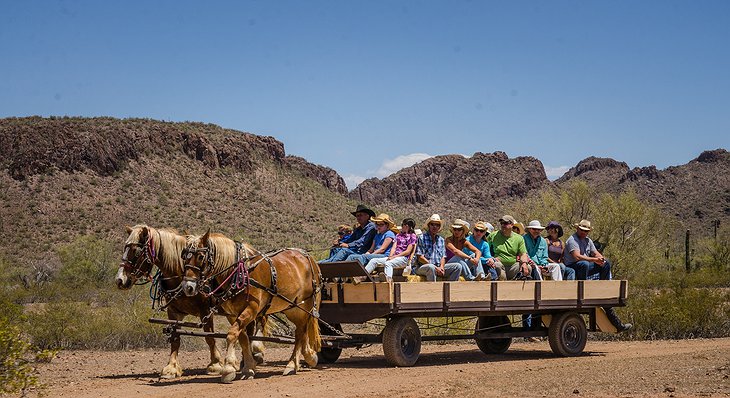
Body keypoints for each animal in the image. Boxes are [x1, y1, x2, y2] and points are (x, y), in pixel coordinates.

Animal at [181, 232, 320, 384]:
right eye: (184, 256)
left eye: (201, 256)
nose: (188, 287)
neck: (239, 272)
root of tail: (309, 258)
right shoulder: (233, 315)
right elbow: (243, 338)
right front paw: (248, 367)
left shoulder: (251, 310)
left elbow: (232, 335)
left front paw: (228, 369)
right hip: (292, 308)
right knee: (302, 331)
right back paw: (308, 357)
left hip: (304, 306)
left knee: (301, 331)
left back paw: (292, 364)